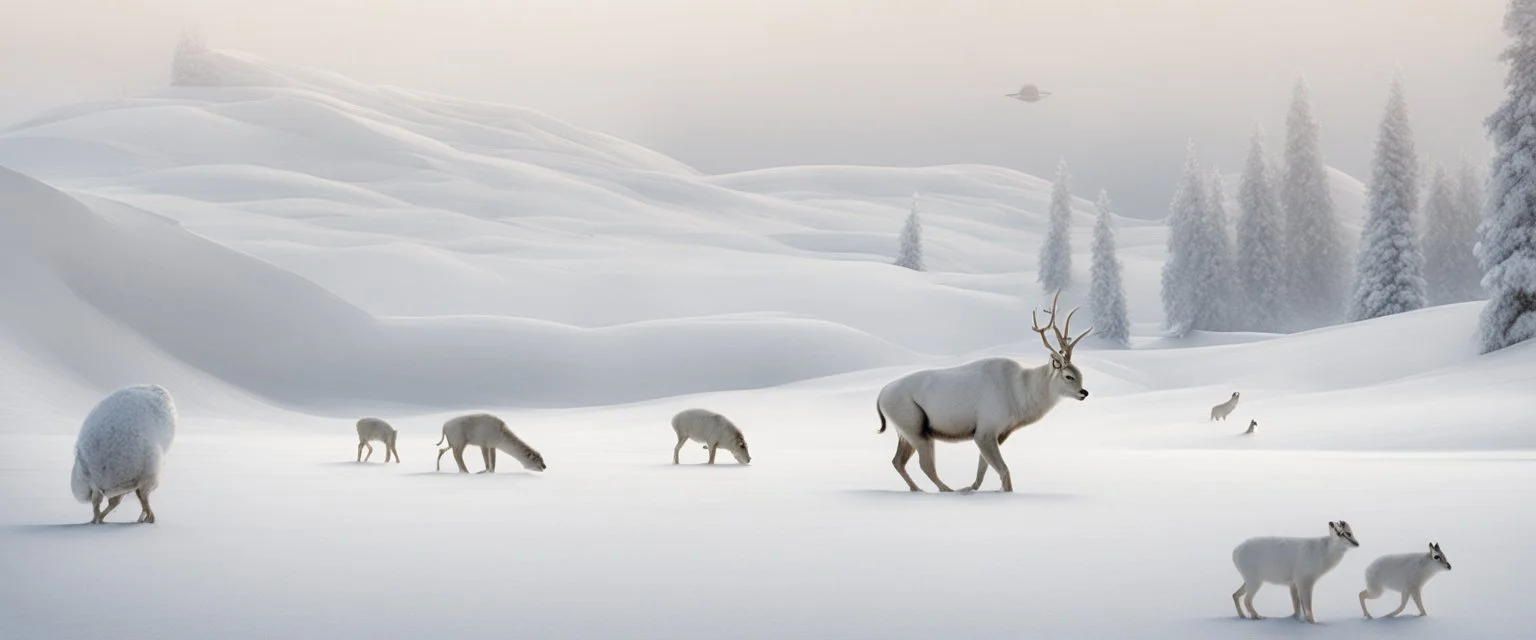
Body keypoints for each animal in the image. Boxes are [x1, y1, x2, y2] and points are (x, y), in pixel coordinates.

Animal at [878, 291, 1093, 491]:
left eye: (1080, 373)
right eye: (1068, 376)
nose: (1084, 392)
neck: (1021, 395)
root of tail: (881, 396)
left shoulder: (997, 433)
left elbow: (981, 473)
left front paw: (971, 488)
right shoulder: (985, 429)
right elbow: (1004, 471)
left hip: (906, 430)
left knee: (898, 461)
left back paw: (919, 488)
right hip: (914, 426)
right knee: (925, 464)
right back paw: (947, 490)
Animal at [1228, 521, 1363, 620]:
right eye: (1346, 533)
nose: (1357, 544)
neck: (1326, 551)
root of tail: (1235, 551)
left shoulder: (1293, 584)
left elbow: (1297, 605)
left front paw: (1297, 619)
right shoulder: (1305, 582)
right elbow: (1308, 607)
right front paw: (1313, 622)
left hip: (1249, 581)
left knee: (1235, 595)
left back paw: (1242, 616)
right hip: (1256, 582)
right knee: (1247, 600)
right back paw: (1257, 616)